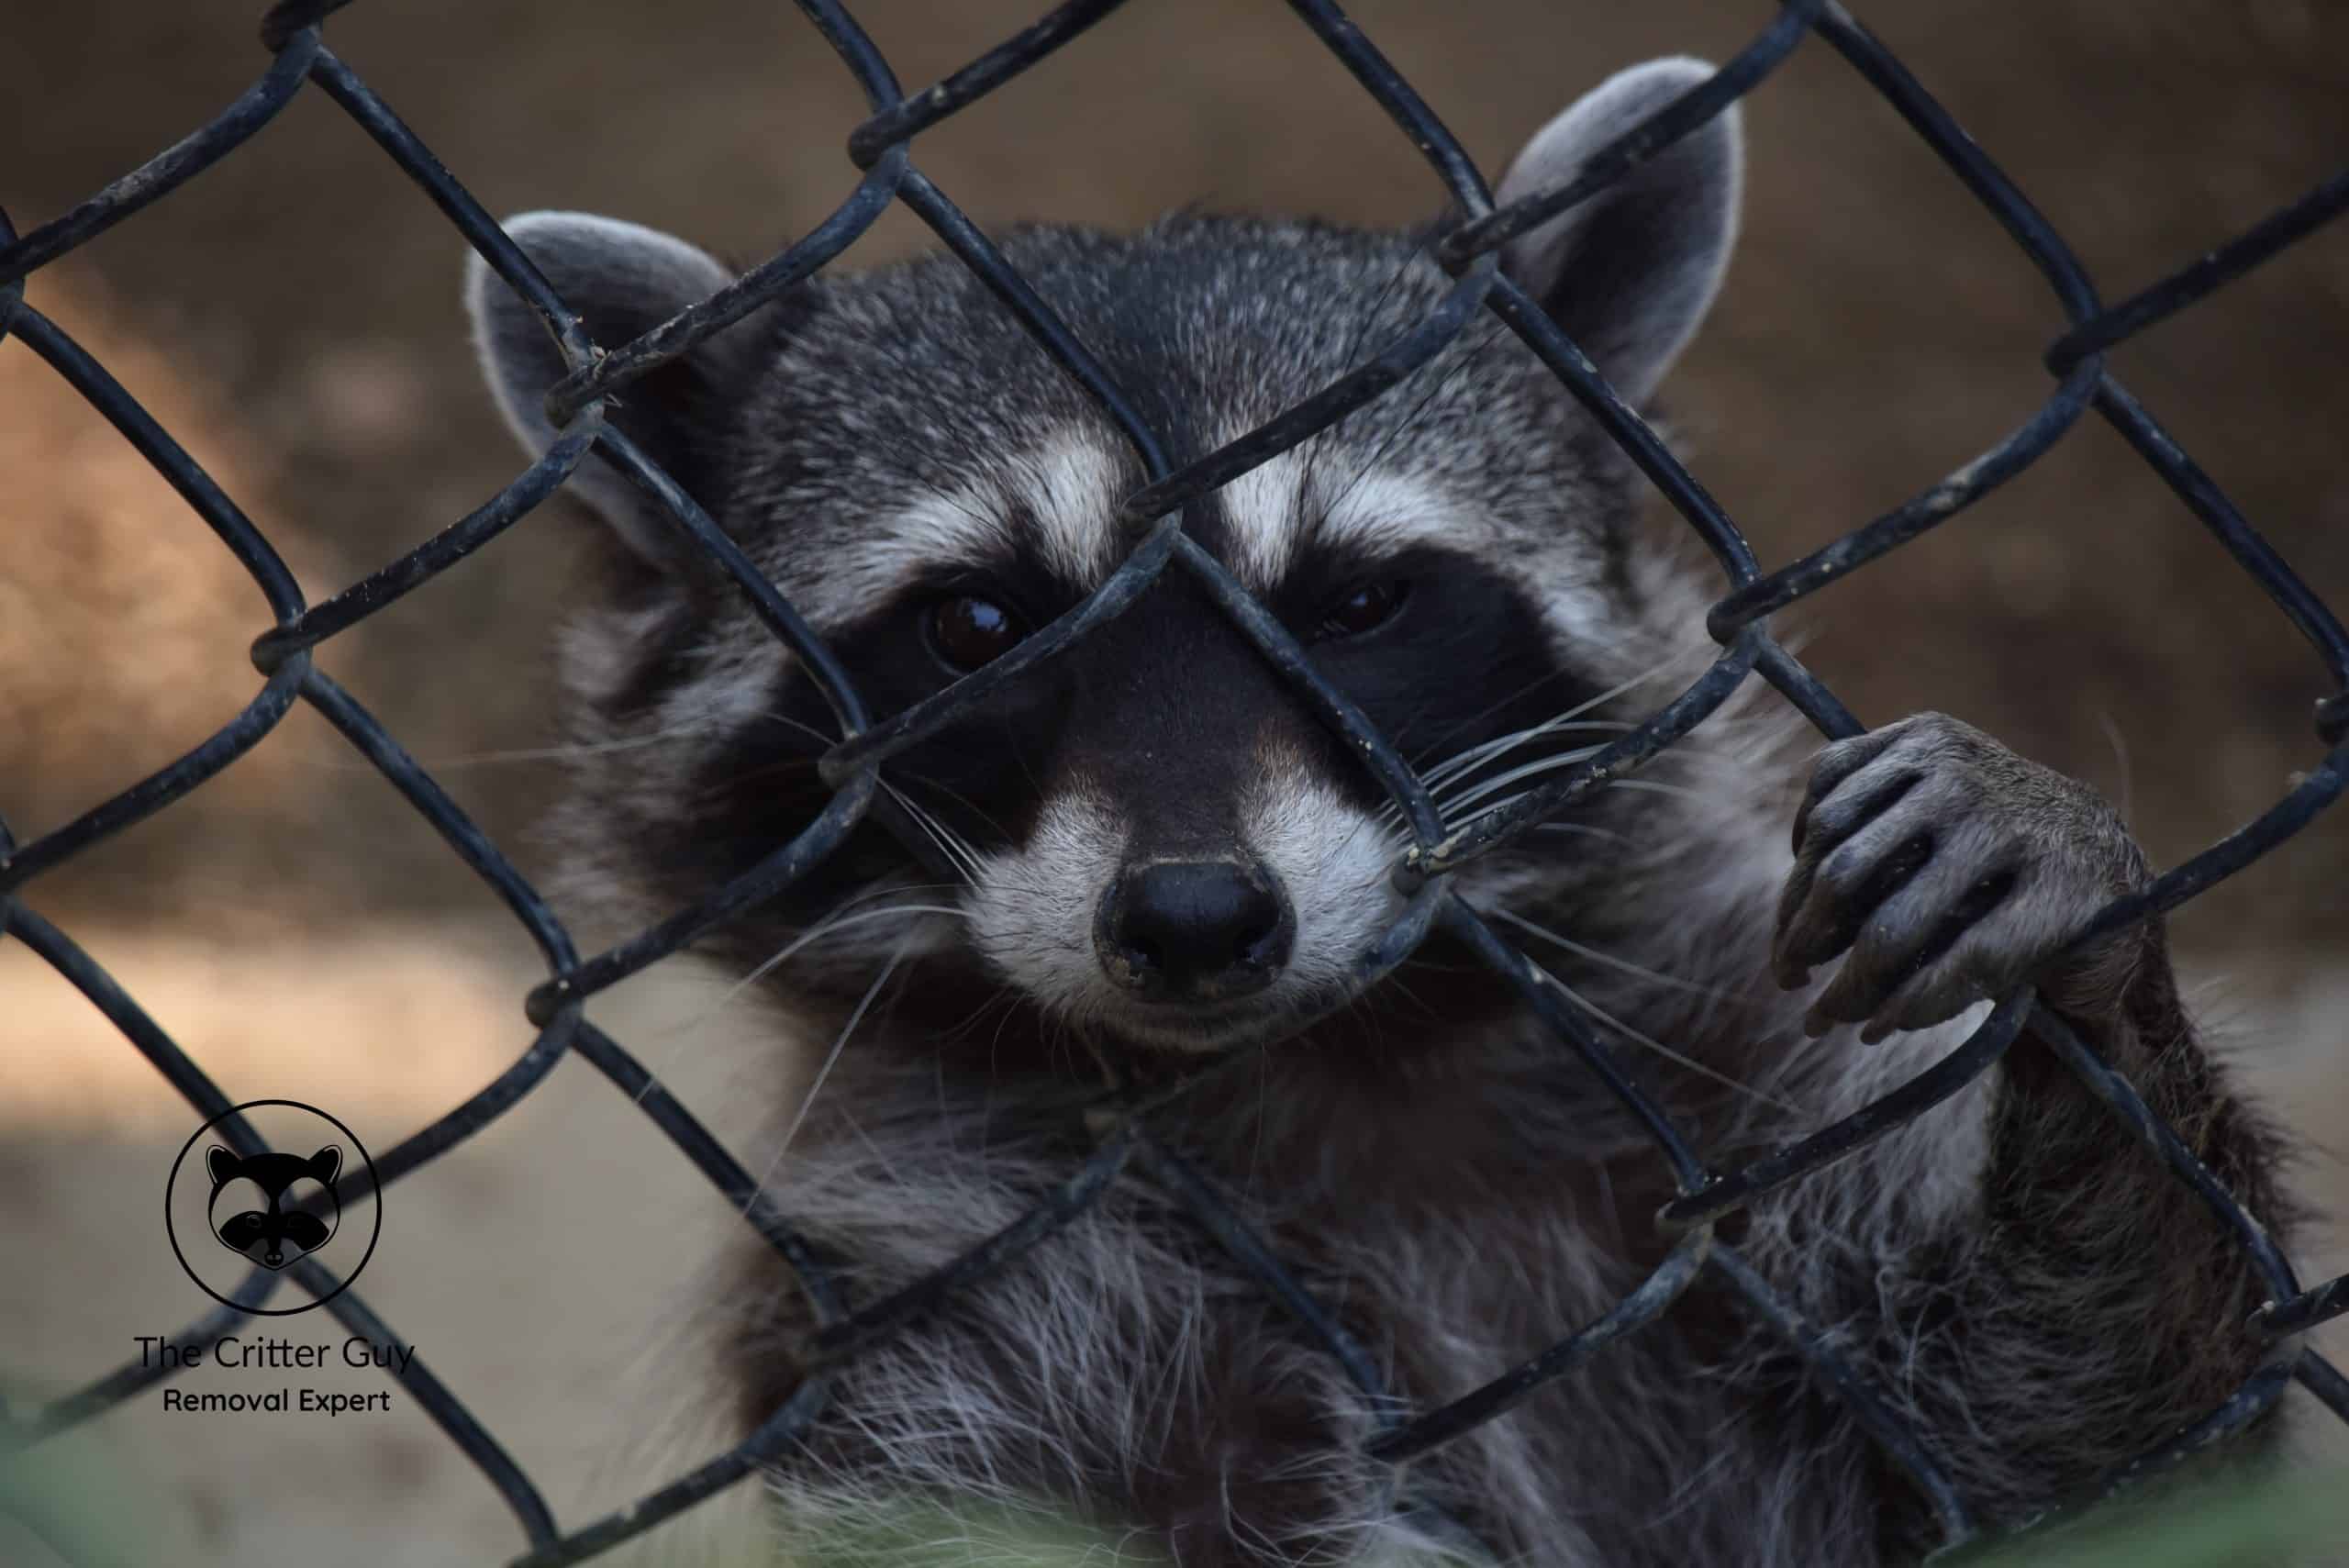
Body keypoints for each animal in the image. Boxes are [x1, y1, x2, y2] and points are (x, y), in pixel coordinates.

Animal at [462, 58, 2292, 1568]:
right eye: (980, 623)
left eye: (1353, 604)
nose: (1197, 918)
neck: (1325, 1056)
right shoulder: (951, 1266)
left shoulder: (1730, 1091)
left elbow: (2103, 1445)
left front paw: (2073, 927)